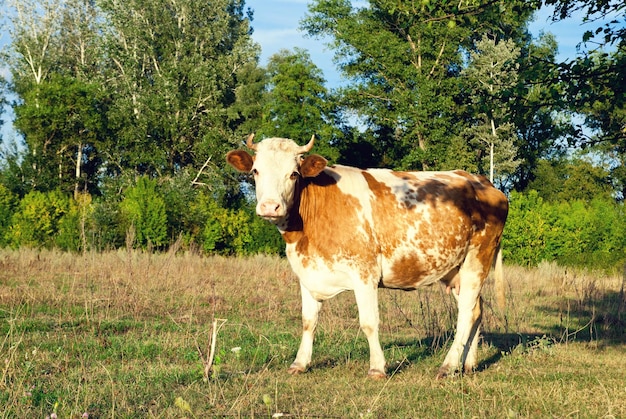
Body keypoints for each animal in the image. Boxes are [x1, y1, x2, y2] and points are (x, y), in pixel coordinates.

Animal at [224, 135, 508, 380]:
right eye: (255, 171)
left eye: (294, 173)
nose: (270, 206)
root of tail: (481, 181)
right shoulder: (307, 273)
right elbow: (308, 321)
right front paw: (299, 363)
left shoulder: (365, 272)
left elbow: (369, 323)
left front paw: (377, 368)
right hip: (456, 268)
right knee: (476, 310)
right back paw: (468, 364)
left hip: (477, 258)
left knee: (466, 313)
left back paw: (448, 366)